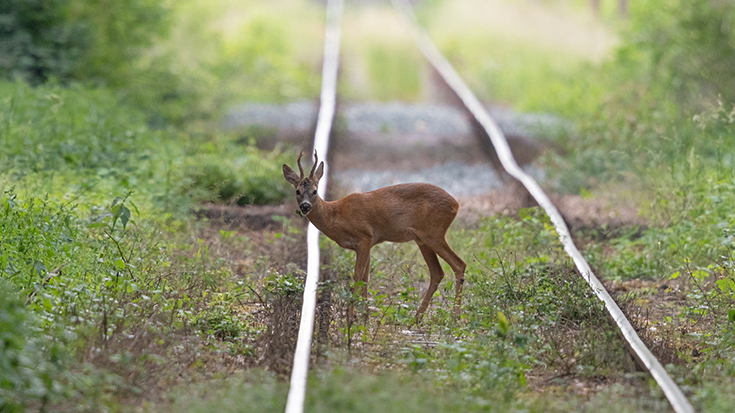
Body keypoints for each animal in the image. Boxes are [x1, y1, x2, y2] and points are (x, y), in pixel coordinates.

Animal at [282, 150, 466, 320]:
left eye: (315, 191)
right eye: (297, 191)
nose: (305, 206)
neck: (336, 216)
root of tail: (456, 204)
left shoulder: (364, 237)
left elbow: (357, 275)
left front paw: (351, 315)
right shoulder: (369, 242)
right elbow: (366, 276)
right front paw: (365, 315)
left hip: (433, 233)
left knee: (459, 264)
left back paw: (454, 316)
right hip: (422, 239)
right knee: (437, 272)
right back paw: (416, 318)